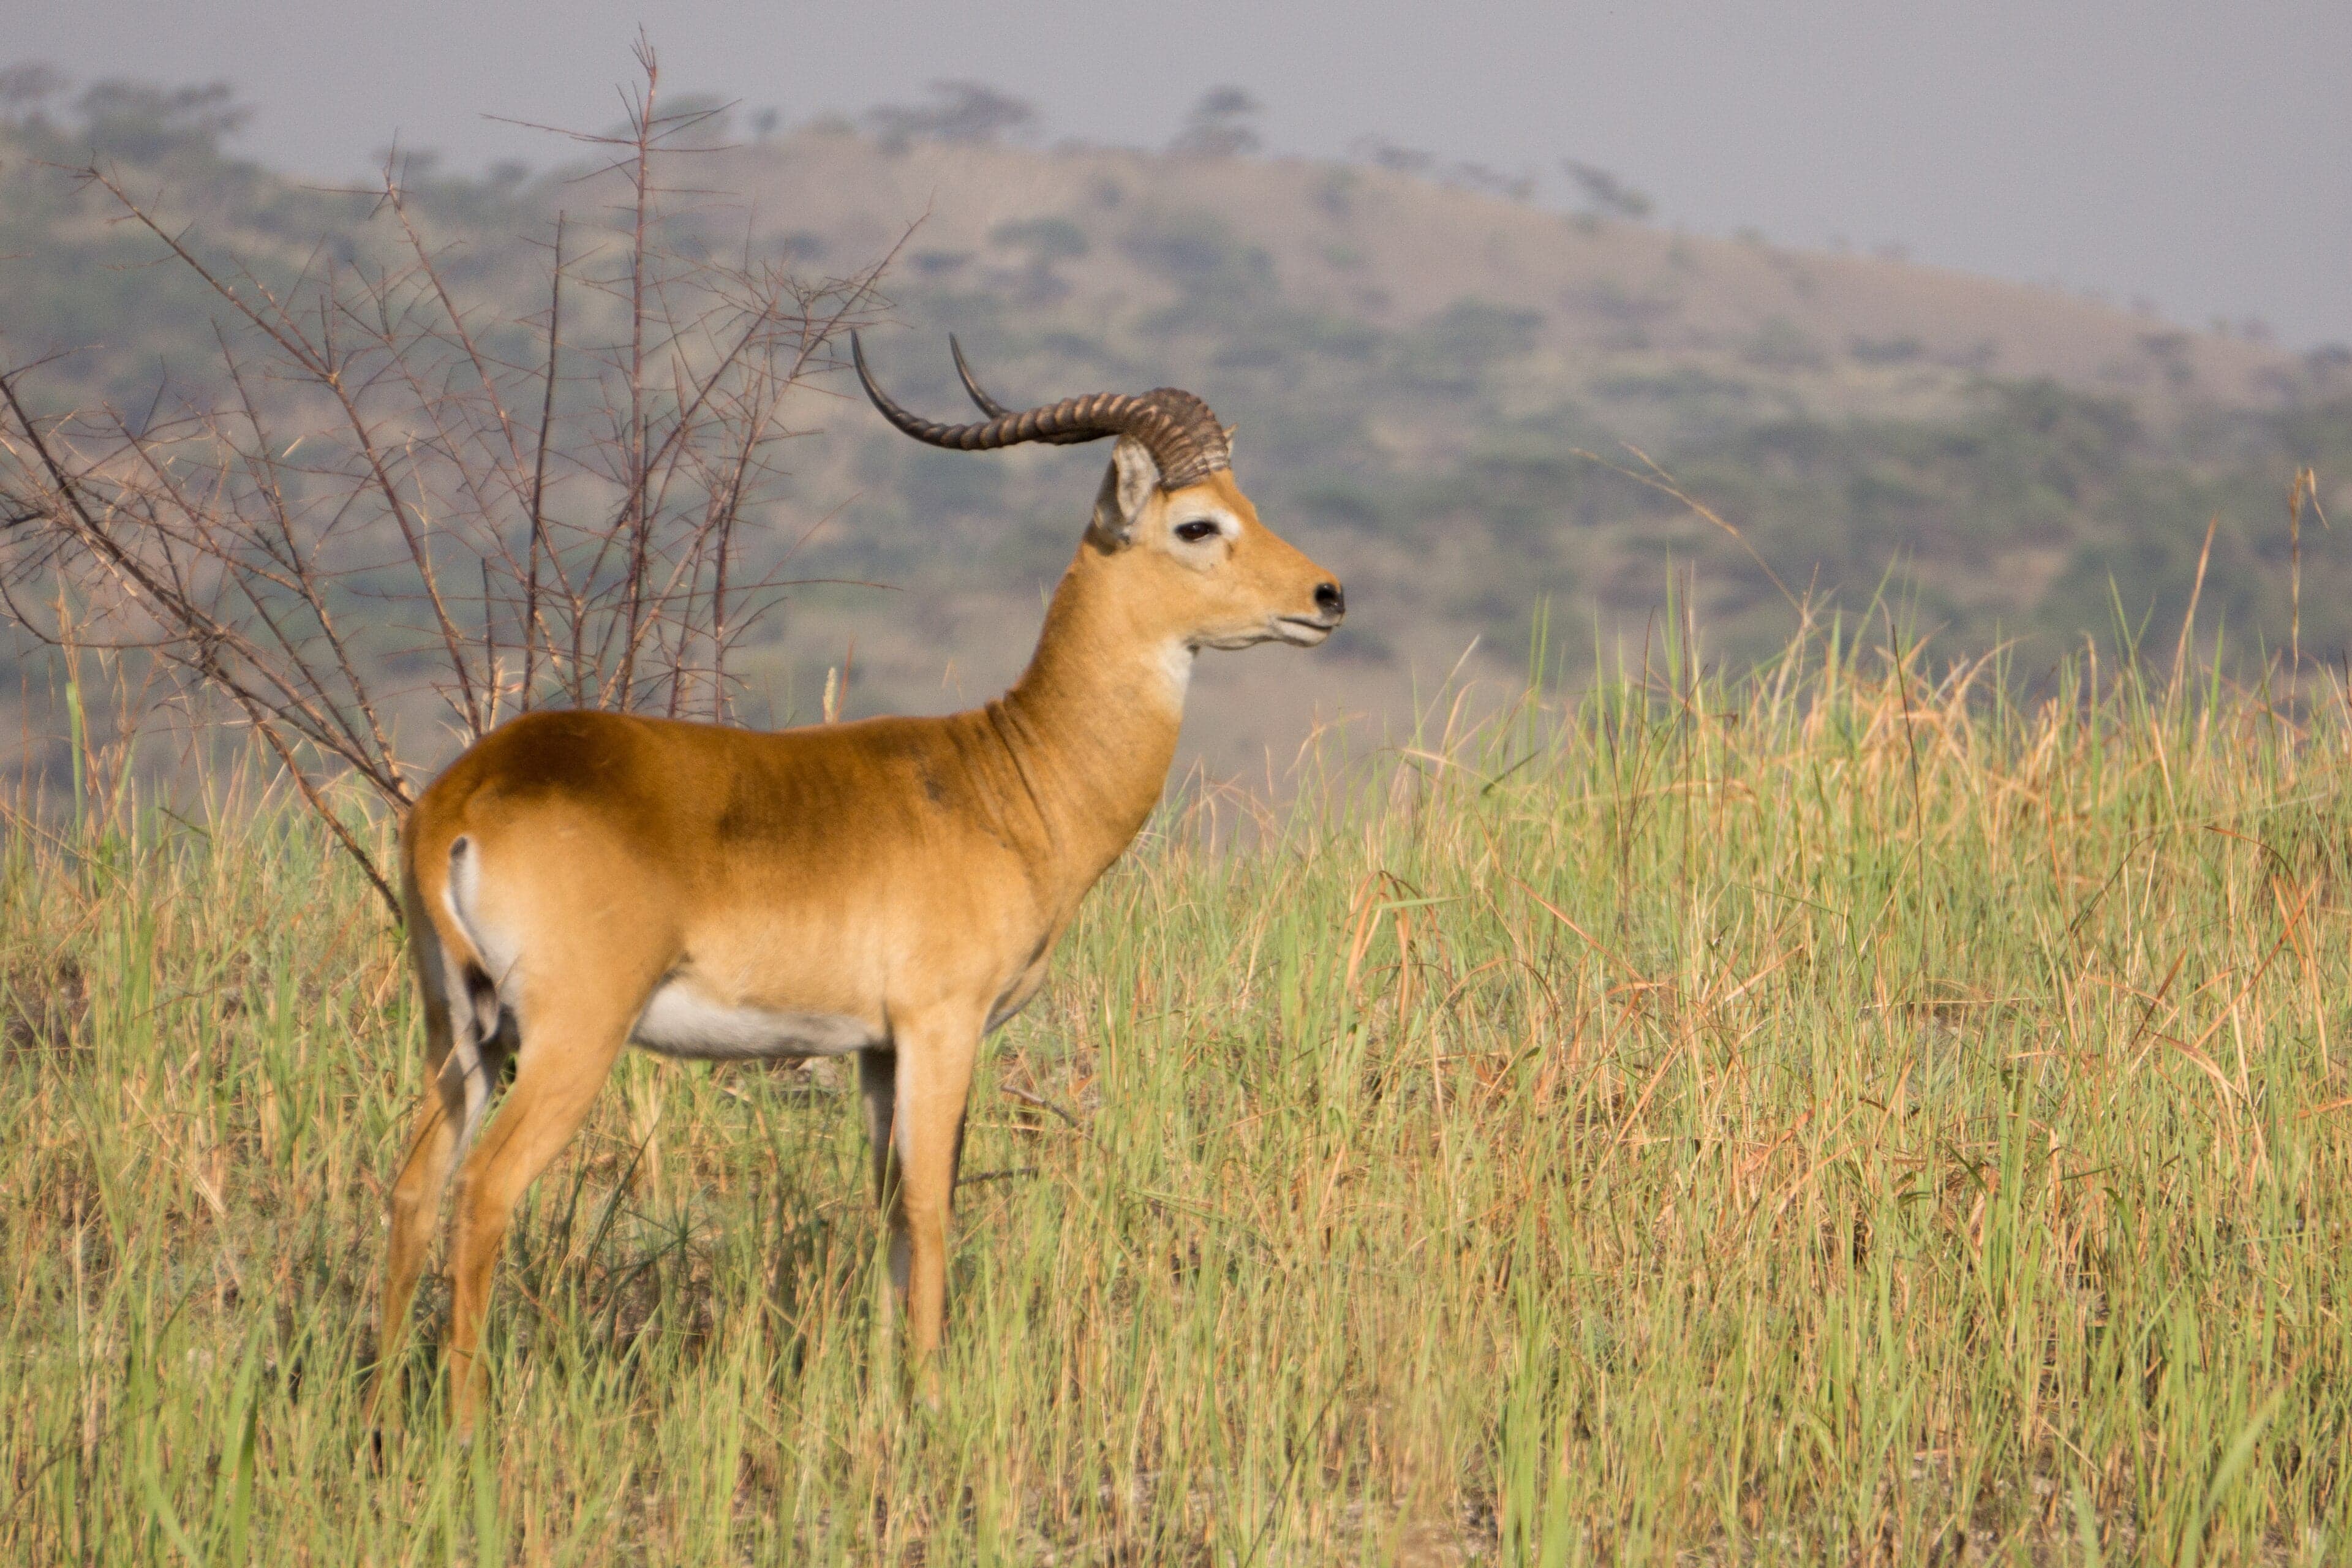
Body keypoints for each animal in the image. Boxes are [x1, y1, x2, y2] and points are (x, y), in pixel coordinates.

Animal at [368, 336, 1346, 1432]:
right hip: (571, 1038)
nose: (1327, 596)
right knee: (484, 1192)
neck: (1010, 777)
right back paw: (465, 1428)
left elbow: (886, 1206)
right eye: (1198, 523)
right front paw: (933, 1395)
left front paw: (884, 1386)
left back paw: (378, 1409)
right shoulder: (941, 1024)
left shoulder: (876, 1049)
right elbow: (932, 1201)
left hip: (463, 1037)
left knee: (413, 1191)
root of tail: (462, 800)